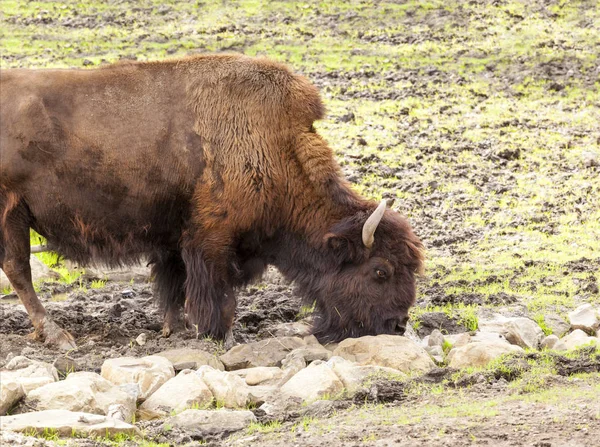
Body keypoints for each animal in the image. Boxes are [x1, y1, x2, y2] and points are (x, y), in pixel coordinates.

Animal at [0, 55, 424, 350]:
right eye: (380, 271)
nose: (396, 325)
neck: (275, 145)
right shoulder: (212, 236)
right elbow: (214, 287)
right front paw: (218, 332)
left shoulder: (174, 238)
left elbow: (174, 283)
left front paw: (176, 326)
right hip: (11, 213)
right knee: (19, 269)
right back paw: (58, 335)